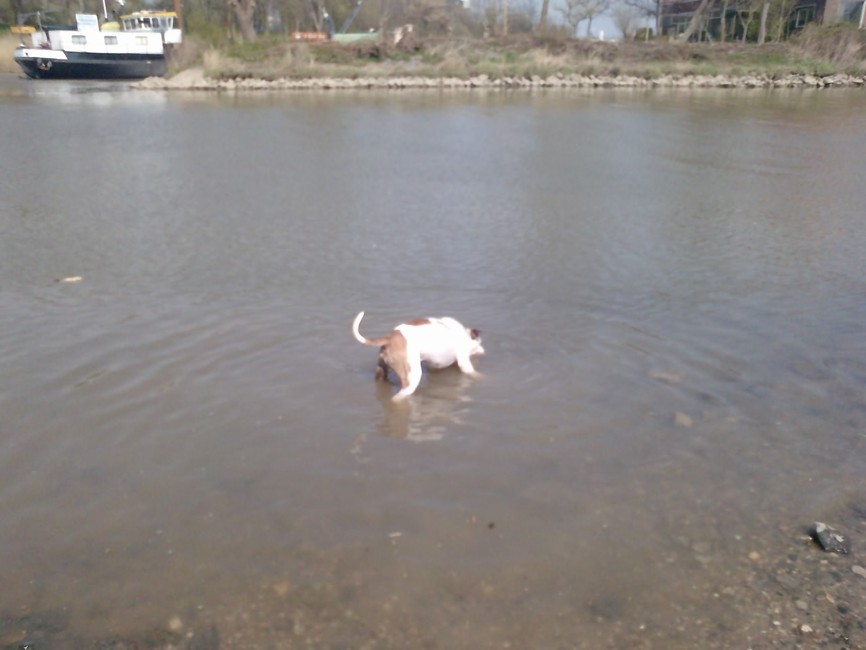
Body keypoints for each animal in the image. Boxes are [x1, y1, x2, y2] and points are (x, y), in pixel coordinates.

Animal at [352, 311, 484, 400]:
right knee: (397, 398)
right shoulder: (464, 362)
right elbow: (474, 373)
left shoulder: (435, 365)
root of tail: (389, 338)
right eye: (479, 343)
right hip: (411, 377)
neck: (465, 335)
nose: (483, 351)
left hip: (381, 372)